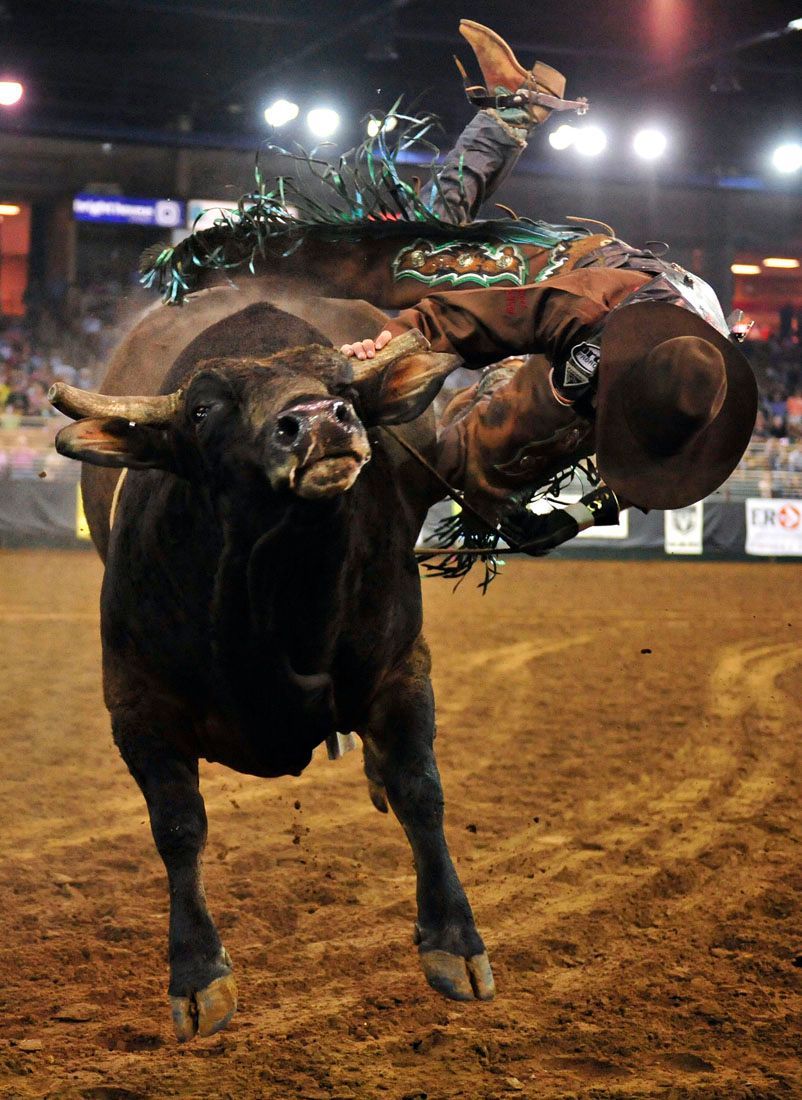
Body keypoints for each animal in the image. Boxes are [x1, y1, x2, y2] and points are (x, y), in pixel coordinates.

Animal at [51, 299, 495, 1038]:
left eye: (344, 387)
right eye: (203, 410)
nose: (318, 420)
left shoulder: (402, 668)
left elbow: (420, 790)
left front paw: (453, 942)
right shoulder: (137, 707)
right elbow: (178, 828)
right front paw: (198, 975)